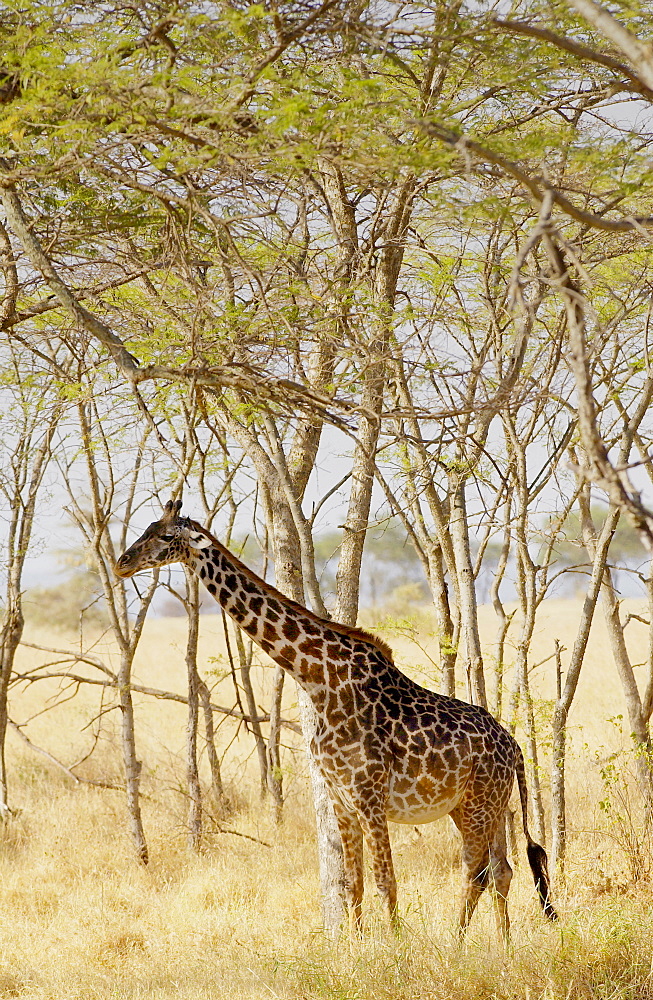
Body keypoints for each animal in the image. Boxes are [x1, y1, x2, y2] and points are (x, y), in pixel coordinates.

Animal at [113, 500, 556, 936]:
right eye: (146, 529)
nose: (122, 562)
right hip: (476, 806)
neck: (319, 681)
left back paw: (457, 945)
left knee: (476, 871)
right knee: (500, 870)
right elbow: (351, 884)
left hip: (479, 803)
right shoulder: (341, 798)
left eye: (166, 537)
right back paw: (501, 947)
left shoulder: (369, 796)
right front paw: (356, 948)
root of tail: (514, 747)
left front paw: (398, 949)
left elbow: (385, 880)